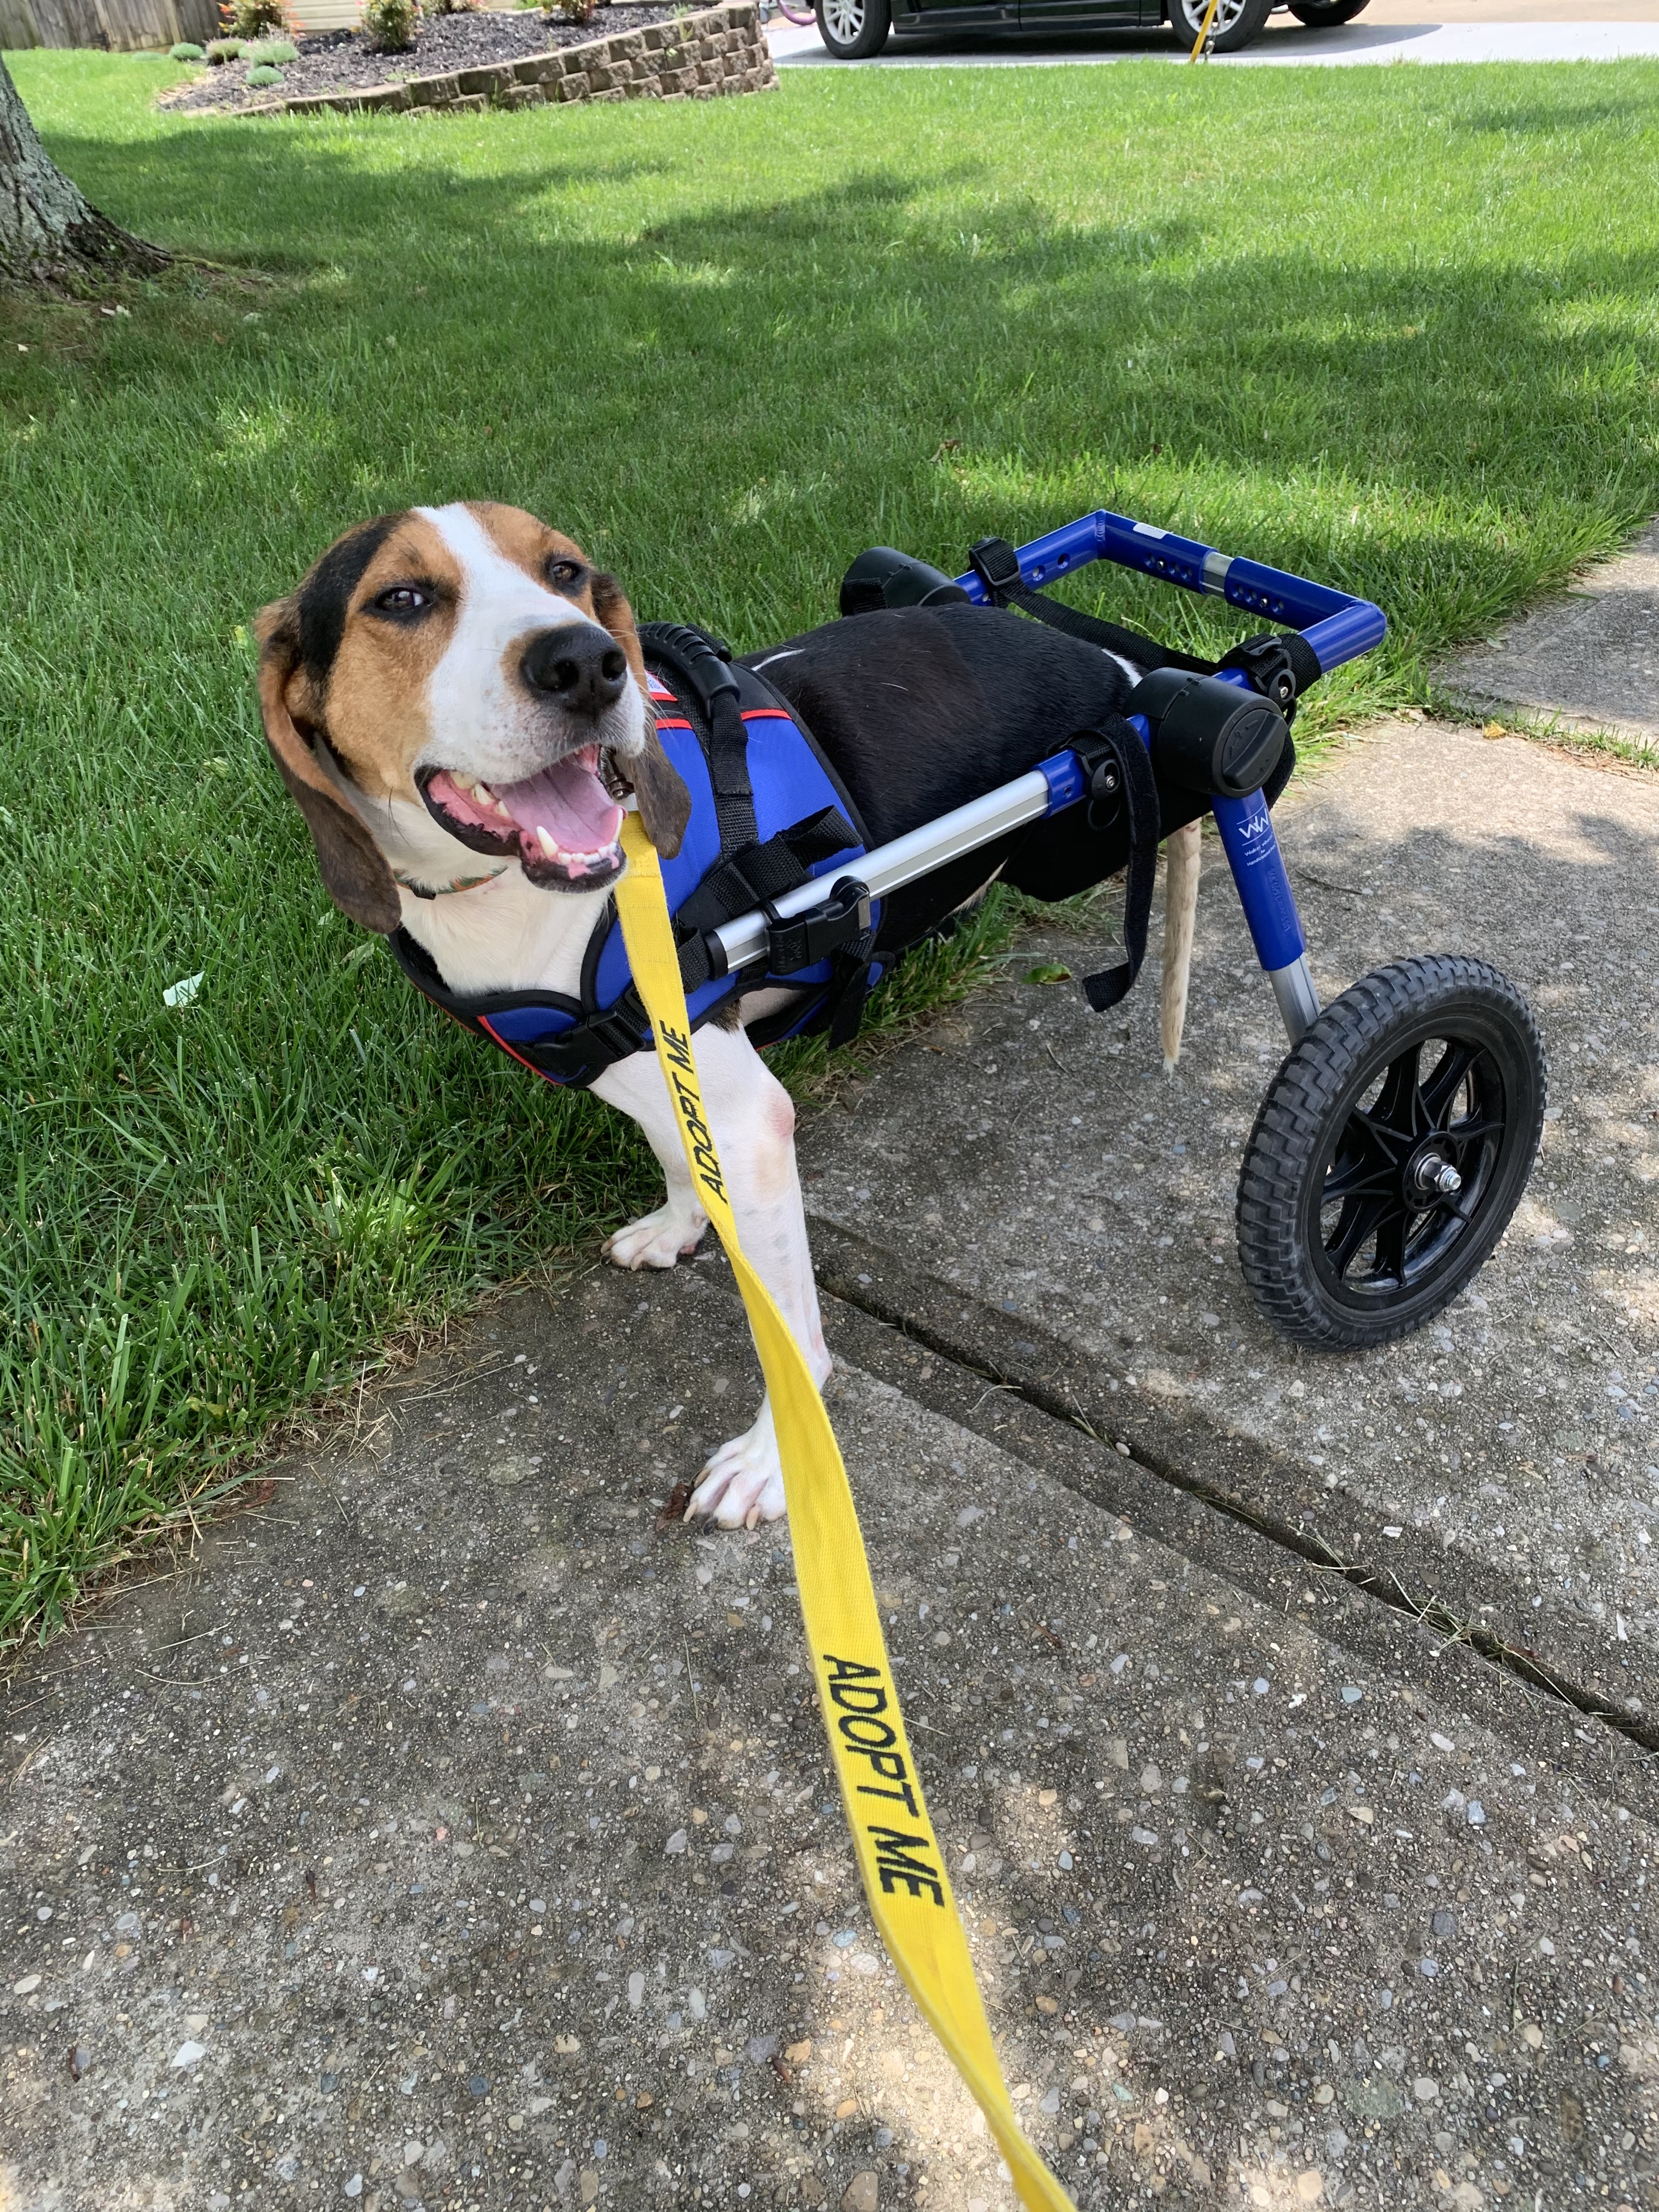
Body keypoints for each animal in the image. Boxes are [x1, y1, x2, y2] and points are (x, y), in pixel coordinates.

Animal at [253, 502, 1203, 1531]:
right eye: (400, 598)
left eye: (565, 571)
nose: (586, 663)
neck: (504, 903)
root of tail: (1122, 672)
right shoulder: (640, 1067)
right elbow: (676, 1158)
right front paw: (678, 1226)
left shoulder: (750, 1124)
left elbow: (789, 1333)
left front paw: (777, 1459)